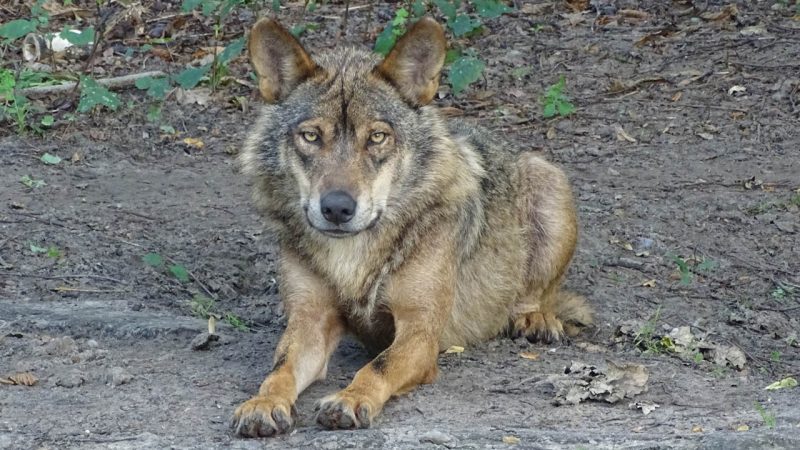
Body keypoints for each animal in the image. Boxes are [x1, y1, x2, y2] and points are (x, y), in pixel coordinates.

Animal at [231, 16, 592, 437]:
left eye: (377, 137)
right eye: (311, 136)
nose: (337, 208)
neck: (353, 256)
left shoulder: (420, 331)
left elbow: (377, 367)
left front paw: (350, 399)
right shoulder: (309, 321)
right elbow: (280, 369)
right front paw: (263, 403)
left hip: (549, 182)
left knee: (538, 294)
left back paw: (534, 318)